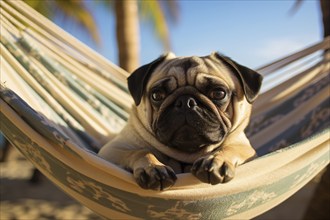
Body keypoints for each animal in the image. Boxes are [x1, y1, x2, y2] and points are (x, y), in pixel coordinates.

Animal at [98, 52, 262, 191]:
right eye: (157, 95)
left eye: (218, 93)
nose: (186, 102)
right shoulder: (110, 151)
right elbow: (140, 151)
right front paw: (154, 167)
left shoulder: (245, 148)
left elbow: (230, 148)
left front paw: (215, 159)